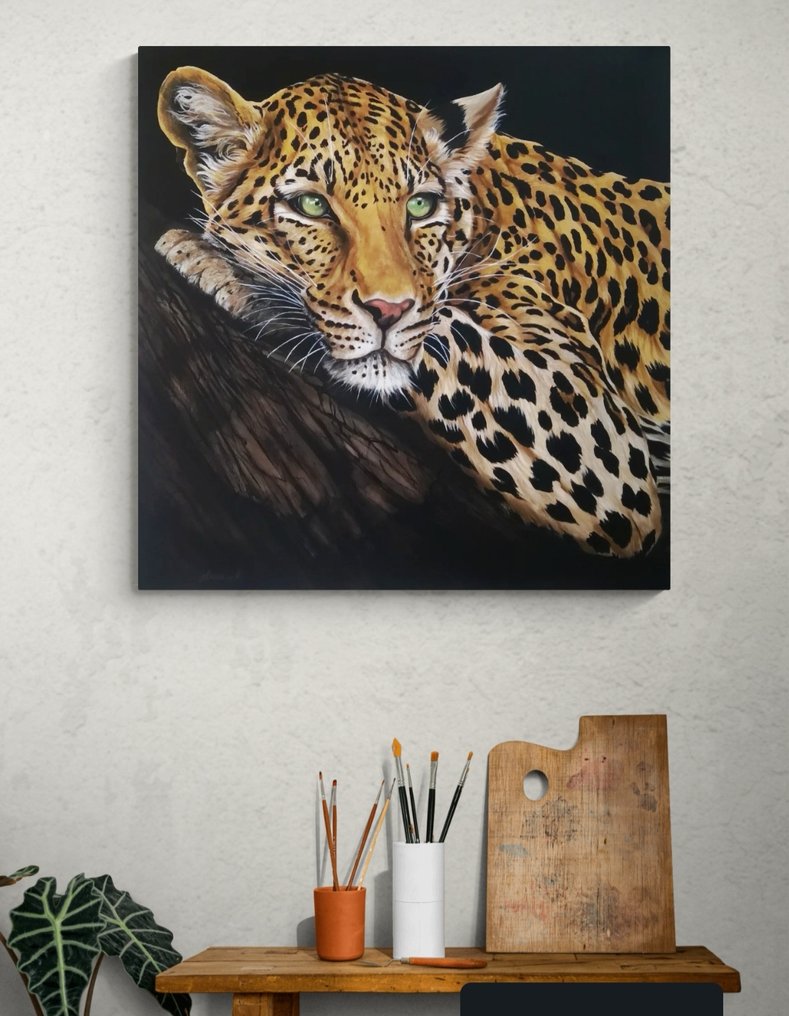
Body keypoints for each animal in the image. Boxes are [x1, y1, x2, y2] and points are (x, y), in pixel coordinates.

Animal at [155, 66, 670, 558]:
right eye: (312, 205)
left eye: (420, 205)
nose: (388, 310)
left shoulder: (602, 438)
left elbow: (442, 329)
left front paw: (220, 263)